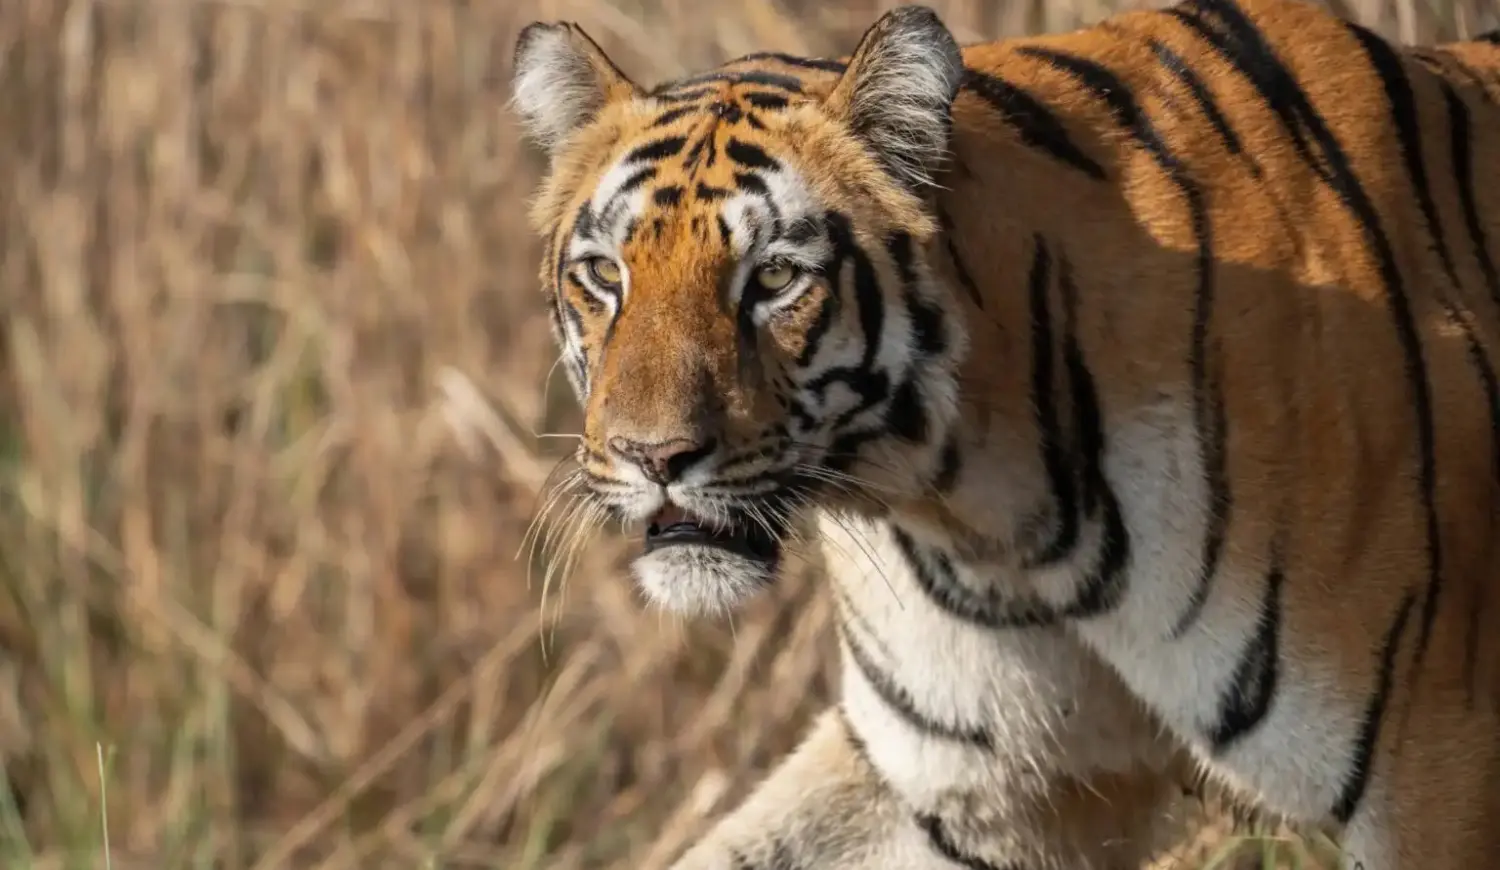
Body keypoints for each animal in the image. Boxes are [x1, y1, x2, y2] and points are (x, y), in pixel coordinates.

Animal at [507, 0, 1500, 867]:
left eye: (775, 277)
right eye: (605, 274)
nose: (652, 457)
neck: (987, 512)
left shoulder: (1441, 774)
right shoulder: (959, 784)